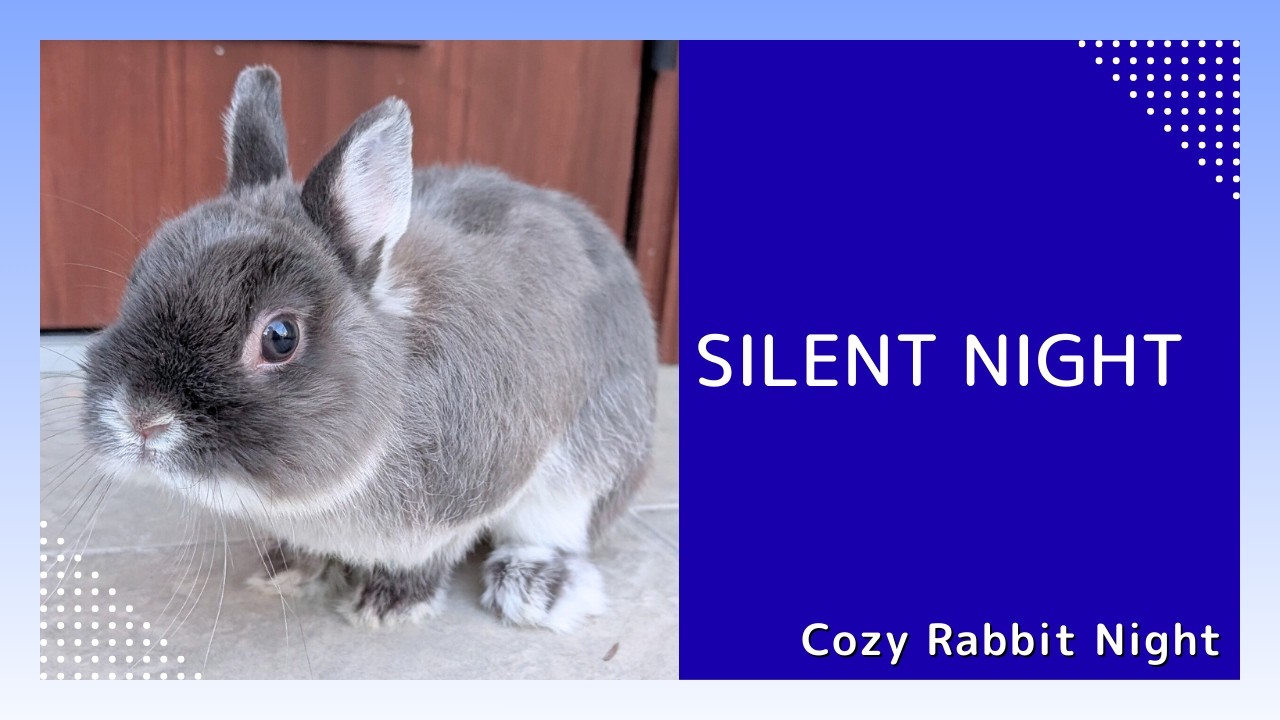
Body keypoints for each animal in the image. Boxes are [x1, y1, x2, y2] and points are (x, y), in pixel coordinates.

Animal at [79, 65, 658, 632]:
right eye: (138, 278)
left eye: (280, 336)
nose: (142, 418)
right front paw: (288, 571)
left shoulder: (474, 492)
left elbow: (436, 553)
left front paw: (390, 605)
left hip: (591, 464)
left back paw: (536, 586)